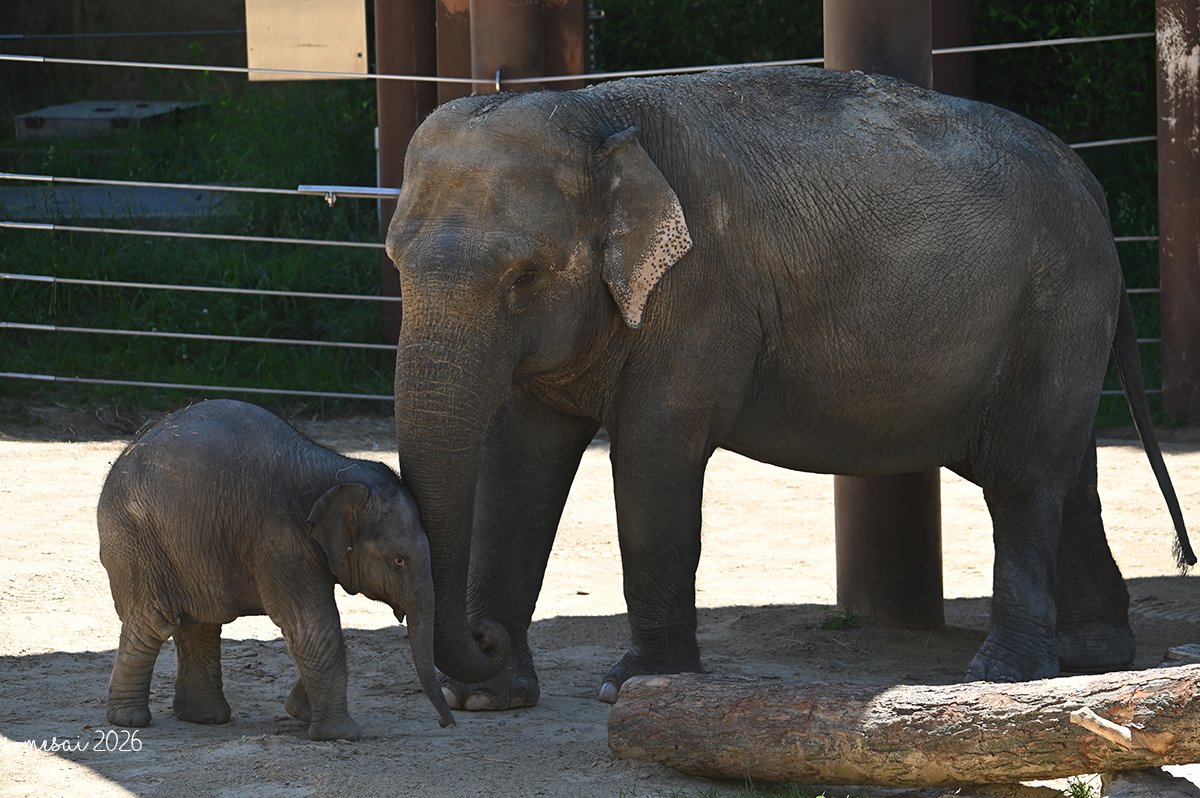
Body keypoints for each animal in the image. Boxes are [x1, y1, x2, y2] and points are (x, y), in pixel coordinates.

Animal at [97, 399, 463, 739]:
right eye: (399, 561)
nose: (447, 723)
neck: (337, 470)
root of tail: (123, 455)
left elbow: (313, 627)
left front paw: (299, 712)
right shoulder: (279, 538)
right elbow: (310, 622)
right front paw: (340, 734)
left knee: (201, 622)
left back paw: (204, 717)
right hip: (135, 542)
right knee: (152, 621)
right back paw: (129, 721)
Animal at [385, 65, 1195, 711]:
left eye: (524, 276)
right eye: (393, 261)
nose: (482, 636)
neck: (591, 110)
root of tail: (1085, 177)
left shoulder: (702, 294)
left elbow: (653, 455)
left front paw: (637, 687)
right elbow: (516, 465)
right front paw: (487, 699)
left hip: (1057, 302)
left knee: (1024, 479)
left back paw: (1004, 674)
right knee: (1067, 473)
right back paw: (1090, 655)